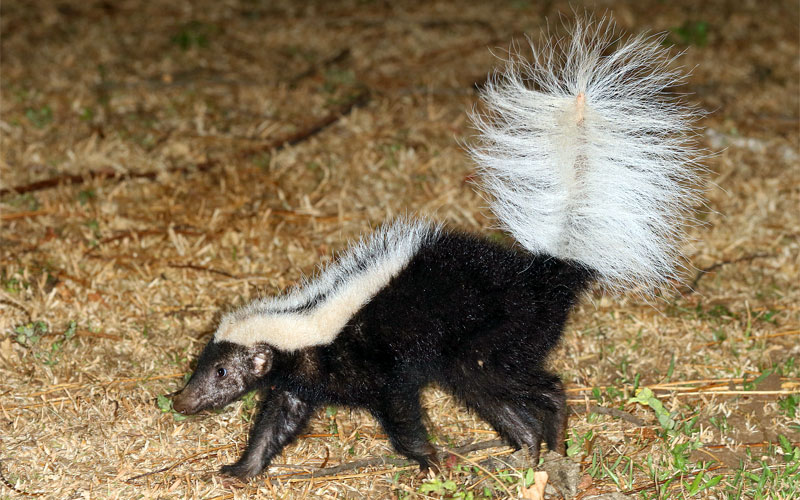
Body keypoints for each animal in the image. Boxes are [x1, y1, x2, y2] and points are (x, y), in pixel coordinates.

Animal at [170, 18, 700, 480]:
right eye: (202, 365)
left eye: (221, 372)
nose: (181, 400)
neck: (310, 325)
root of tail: (545, 269)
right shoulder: (301, 381)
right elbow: (276, 421)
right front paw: (241, 470)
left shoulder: (379, 368)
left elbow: (402, 417)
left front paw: (429, 461)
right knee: (501, 395)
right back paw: (529, 451)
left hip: (497, 337)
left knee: (535, 384)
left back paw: (549, 442)